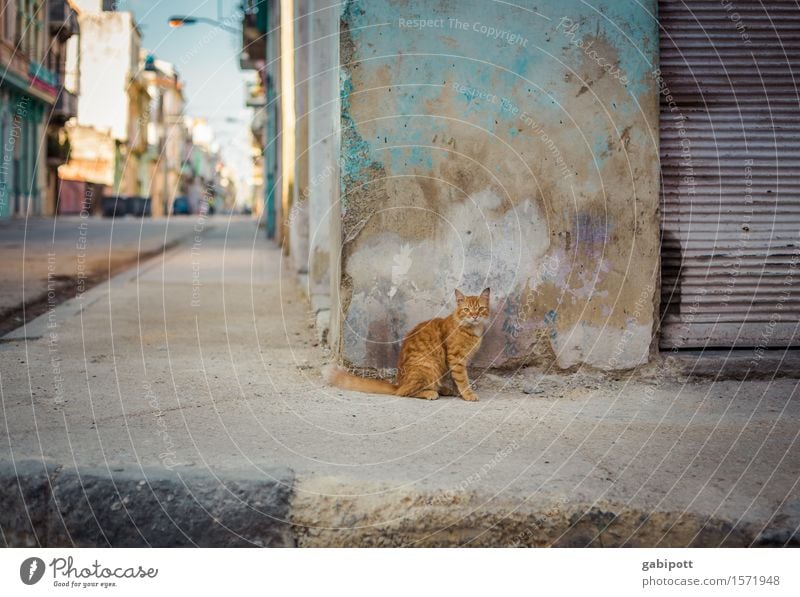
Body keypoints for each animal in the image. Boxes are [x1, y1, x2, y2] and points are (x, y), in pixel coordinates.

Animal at [324, 288, 488, 400]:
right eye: (466, 310)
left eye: (480, 308)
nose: (474, 316)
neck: (472, 329)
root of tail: (398, 383)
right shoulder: (456, 359)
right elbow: (462, 379)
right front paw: (467, 394)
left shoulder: (458, 362)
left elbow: (456, 380)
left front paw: (459, 392)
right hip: (430, 366)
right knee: (405, 392)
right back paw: (430, 392)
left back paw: (443, 390)